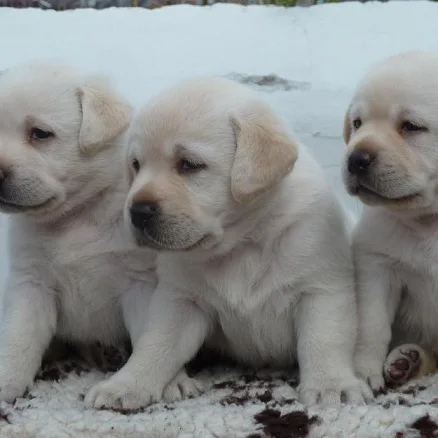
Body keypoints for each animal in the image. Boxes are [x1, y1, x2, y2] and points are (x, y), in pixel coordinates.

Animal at [0, 60, 199, 405]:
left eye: (40, 133)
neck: (76, 216)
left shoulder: (139, 283)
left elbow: (151, 336)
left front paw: (172, 381)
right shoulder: (31, 281)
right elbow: (19, 337)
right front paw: (7, 378)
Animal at [84, 76, 372, 410]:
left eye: (189, 164)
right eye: (135, 164)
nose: (137, 212)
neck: (242, 243)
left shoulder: (322, 288)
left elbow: (324, 340)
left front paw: (332, 385)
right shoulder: (181, 300)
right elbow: (155, 344)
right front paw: (125, 384)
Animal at [343, 51, 438, 390]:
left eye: (411, 126)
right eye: (357, 123)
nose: (355, 159)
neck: (429, 220)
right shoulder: (377, 267)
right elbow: (372, 325)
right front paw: (363, 372)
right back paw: (405, 361)